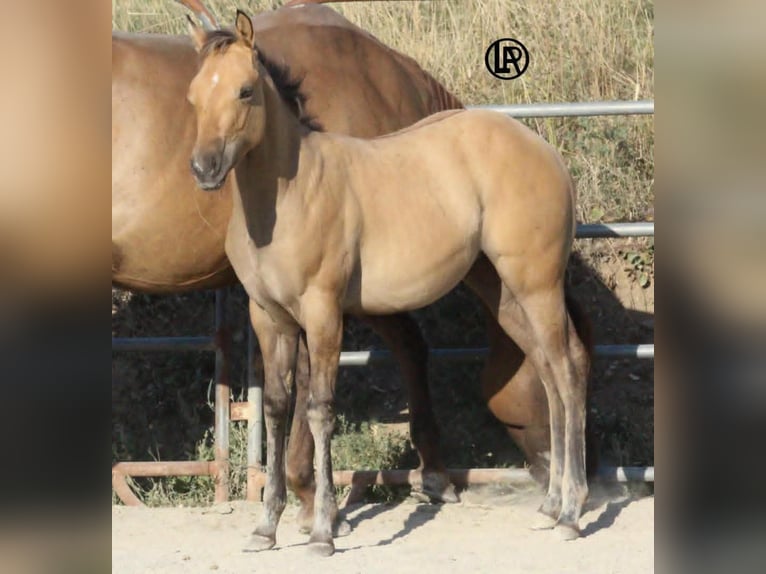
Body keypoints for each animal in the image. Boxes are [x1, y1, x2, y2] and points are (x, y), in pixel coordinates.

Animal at [186, 11, 591, 554]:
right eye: (193, 96)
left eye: (245, 91)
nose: (203, 169)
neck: (291, 196)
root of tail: (546, 152)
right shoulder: (269, 317)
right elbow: (274, 408)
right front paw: (265, 528)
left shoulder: (323, 313)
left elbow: (319, 411)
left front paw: (323, 532)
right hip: (505, 293)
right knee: (548, 372)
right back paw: (549, 509)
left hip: (537, 285)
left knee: (567, 370)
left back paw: (570, 513)